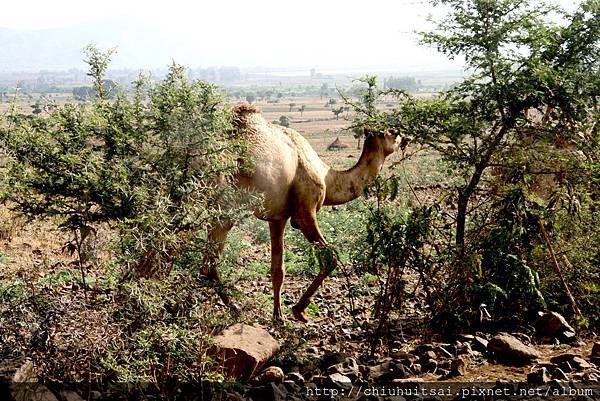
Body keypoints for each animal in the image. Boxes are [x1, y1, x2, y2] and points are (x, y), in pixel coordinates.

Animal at [205, 104, 408, 322]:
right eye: (393, 132)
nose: (407, 137)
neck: (327, 176)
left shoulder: (278, 217)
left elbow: (278, 269)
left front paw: (278, 316)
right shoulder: (304, 213)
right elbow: (330, 257)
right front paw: (299, 309)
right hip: (221, 209)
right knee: (207, 263)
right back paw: (234, 308)